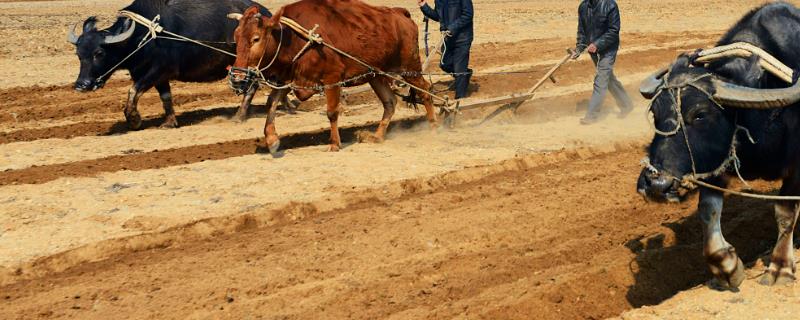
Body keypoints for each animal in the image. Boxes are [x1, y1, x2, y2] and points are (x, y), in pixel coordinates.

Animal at [67, 0, 272, 129]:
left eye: (99, 53)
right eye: (79, 54)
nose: (82, 85)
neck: (142, 37)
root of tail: (267, 14)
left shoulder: (159, 70)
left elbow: (133, 91)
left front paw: (134, 120)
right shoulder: (153, 76)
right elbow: (165, 97)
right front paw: (169, 122)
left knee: (252, 87)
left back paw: (240, 116)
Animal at [636, 1, 800, 288]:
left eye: (700, 114)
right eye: (655, 112)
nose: (656, 185)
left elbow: (785, 211)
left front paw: (780, 268)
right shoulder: (715, 161)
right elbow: (708, 210)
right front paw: (726, 266)